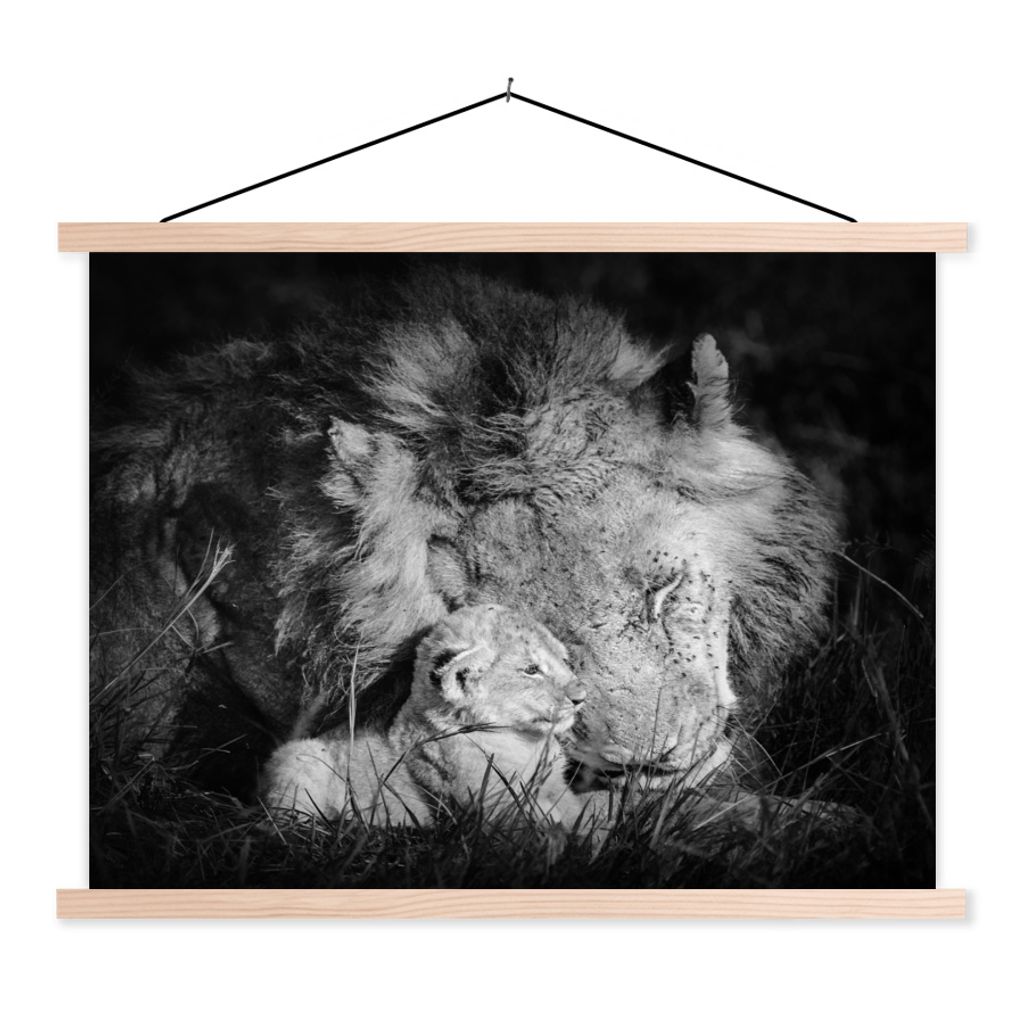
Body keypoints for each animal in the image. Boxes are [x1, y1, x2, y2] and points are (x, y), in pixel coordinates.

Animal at [262, 604, 590, 830]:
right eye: (531, 670)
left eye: (564, 660)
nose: (581, 696)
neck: (526, 741)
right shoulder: (495, 806)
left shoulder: (558, 788)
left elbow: (583, 813)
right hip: (299, 759)